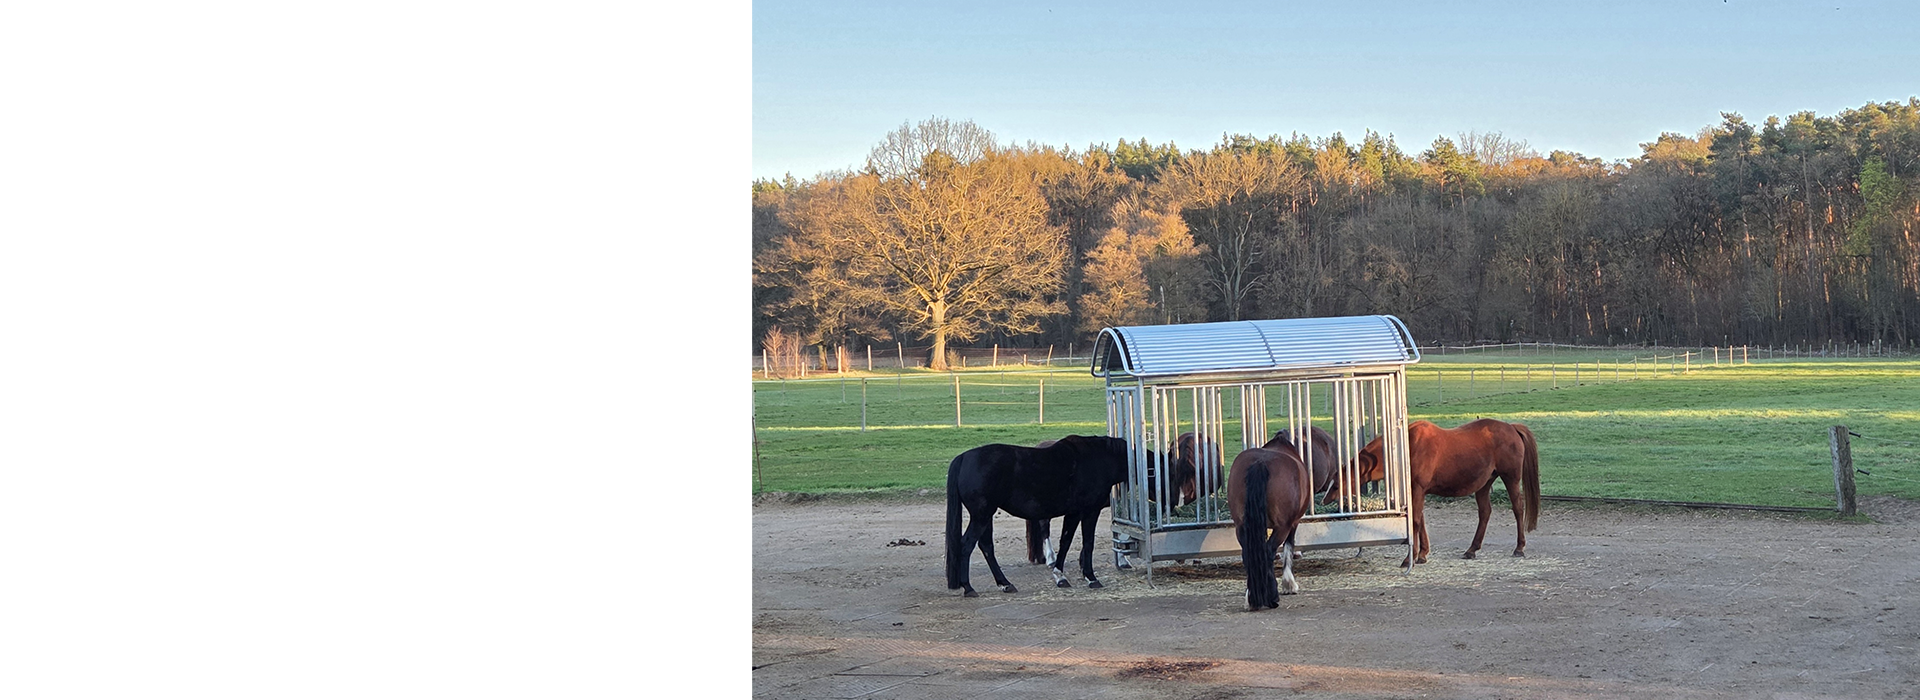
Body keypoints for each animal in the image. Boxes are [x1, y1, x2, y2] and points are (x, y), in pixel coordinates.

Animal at [946, 434, 1131, 597]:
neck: (1098, 458)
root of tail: (963, 458)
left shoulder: (1074, 512)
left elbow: (1066, 541)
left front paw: (1061, 575)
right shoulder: (1090, 511)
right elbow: (1088, 542)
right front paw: (1090, 577)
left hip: (985, 516)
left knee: (986, 546)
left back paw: (1005, 584)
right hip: (981, 516)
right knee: (966, 545)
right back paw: (968, 587)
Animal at [1227, 439, 1313, 610]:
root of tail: (1260, 463)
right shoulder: (1293, 524)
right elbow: (1288, 548)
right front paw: (1289, 585)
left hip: (1241, 527)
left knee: (1249, 555)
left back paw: (1251, 599)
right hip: (1282, 527)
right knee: (1268, 552)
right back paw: (1272, 598)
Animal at [1333, 418, 1540, 566]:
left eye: (1335, 485)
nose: (1329, 499)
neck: (1408, 449)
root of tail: (1511, 428)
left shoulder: (1418, 489)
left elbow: (1415, 521)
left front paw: (1410, 558)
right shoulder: (1416, 492)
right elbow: (1419, 520)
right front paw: (1422, 553)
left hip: (1510, 479)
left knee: (1517, 508)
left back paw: (1519, 547)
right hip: (1484, 484)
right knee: (1485, 513)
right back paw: (1472, 549)